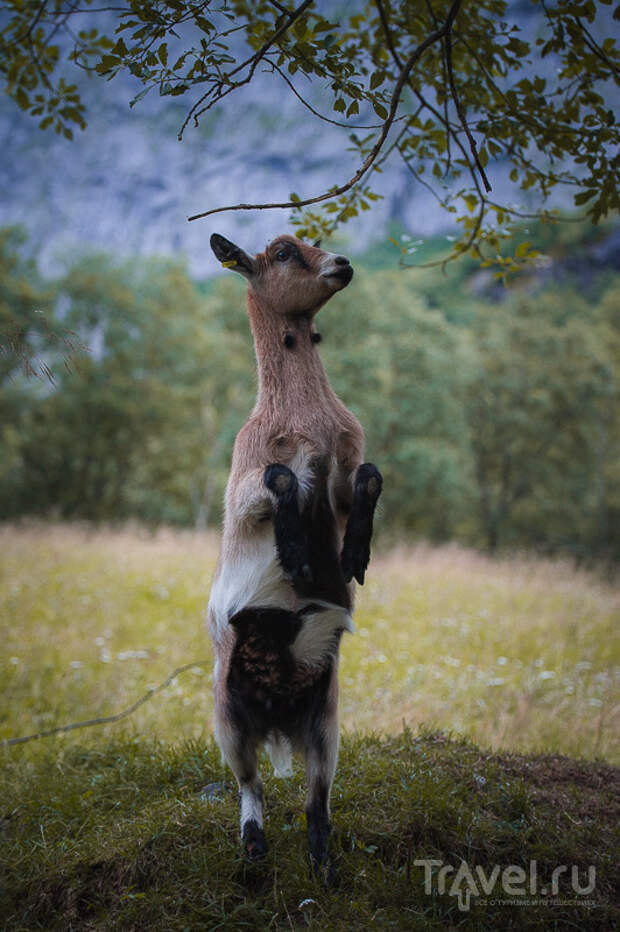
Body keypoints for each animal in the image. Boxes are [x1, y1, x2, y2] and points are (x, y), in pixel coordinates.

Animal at [208, 229, 382, 876]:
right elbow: (281, 477)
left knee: (316, 797)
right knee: (249, 782)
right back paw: (254, 849)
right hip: (228, 715)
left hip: (325, 720)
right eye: (282, 252)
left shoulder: (348, 465)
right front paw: (296, 555)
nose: (344, 264)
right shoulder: (243, 483)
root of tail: (278, 715)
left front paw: (354, 555)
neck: (308, 422)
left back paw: (323, 865)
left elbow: (370, 477)